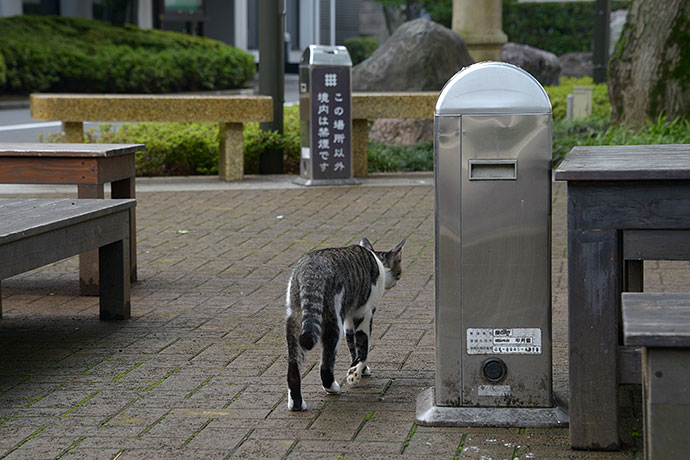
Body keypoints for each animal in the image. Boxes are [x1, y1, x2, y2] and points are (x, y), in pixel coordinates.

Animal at [284, 237, 404, 410]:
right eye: (399, 272)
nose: (395, 281)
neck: (376, 259)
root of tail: (312, 269)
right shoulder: (365, 313)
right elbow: (363, 347)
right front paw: (355, 374)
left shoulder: (349, 319)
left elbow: (353, 346)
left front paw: (359, 370)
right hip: (333, 322)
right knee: (325, 365)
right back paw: (332, 388)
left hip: (295, 321)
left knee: (293, 367)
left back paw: (297, 404)